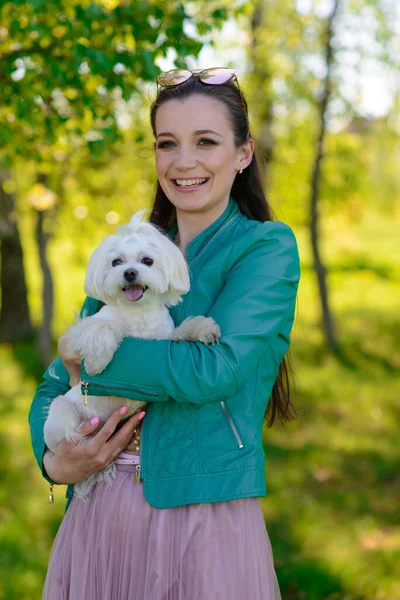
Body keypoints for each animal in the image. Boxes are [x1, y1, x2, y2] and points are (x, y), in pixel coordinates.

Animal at [44, 211, 222, 502]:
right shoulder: (81, 330)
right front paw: (97, 361)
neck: (138, 315)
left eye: (147, 260)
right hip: (63, 415)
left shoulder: (165, 342)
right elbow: (102, 329)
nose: (129, 272)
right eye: (116, 261)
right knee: (69, 438)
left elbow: (183, 331)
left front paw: (203, 329)